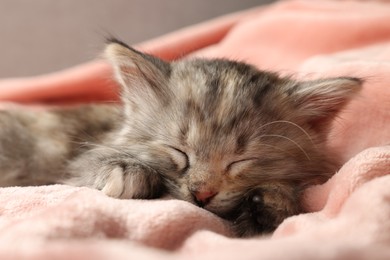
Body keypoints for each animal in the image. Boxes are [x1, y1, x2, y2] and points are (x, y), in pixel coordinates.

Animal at [0, 39, 362, 238]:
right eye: (179, 152)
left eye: (240, 162)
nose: (201, 194)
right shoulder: (78, 162)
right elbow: (97, 166)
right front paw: (129, 174)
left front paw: (272, 201)